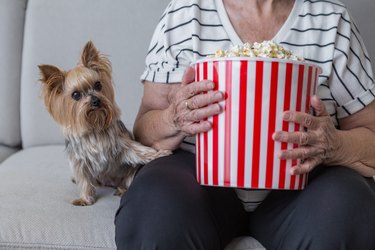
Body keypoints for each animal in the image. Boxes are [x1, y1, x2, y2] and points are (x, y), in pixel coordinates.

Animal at [37, 40, 170, 205]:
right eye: (76, 95)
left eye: (98, 85)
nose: (95, 100)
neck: (95, 126)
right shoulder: (79, 160)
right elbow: (84, 179)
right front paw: (85, 199)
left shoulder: (122, 145)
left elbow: (138, 151)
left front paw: (159, 154)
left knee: (127, 178)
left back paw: (122, 189)